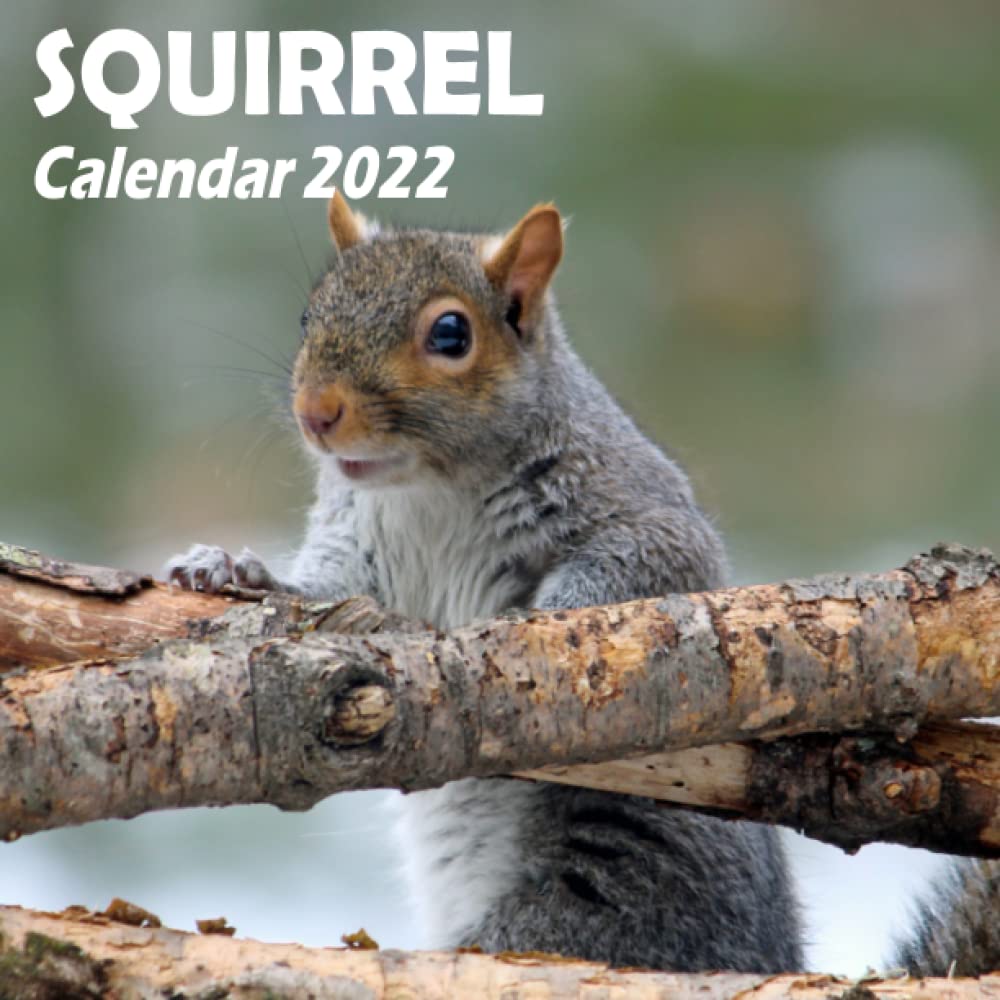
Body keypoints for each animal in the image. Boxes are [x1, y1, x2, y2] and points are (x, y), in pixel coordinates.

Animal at [165, 193, 995, 974]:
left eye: (450, 335)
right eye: (310, 313)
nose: (317, 412)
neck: (427, 490)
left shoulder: (643, 514)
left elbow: (643, 566)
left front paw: (534, 624)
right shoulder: (360, 552)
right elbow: (318, 593)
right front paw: (231, 567)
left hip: (611, 895)